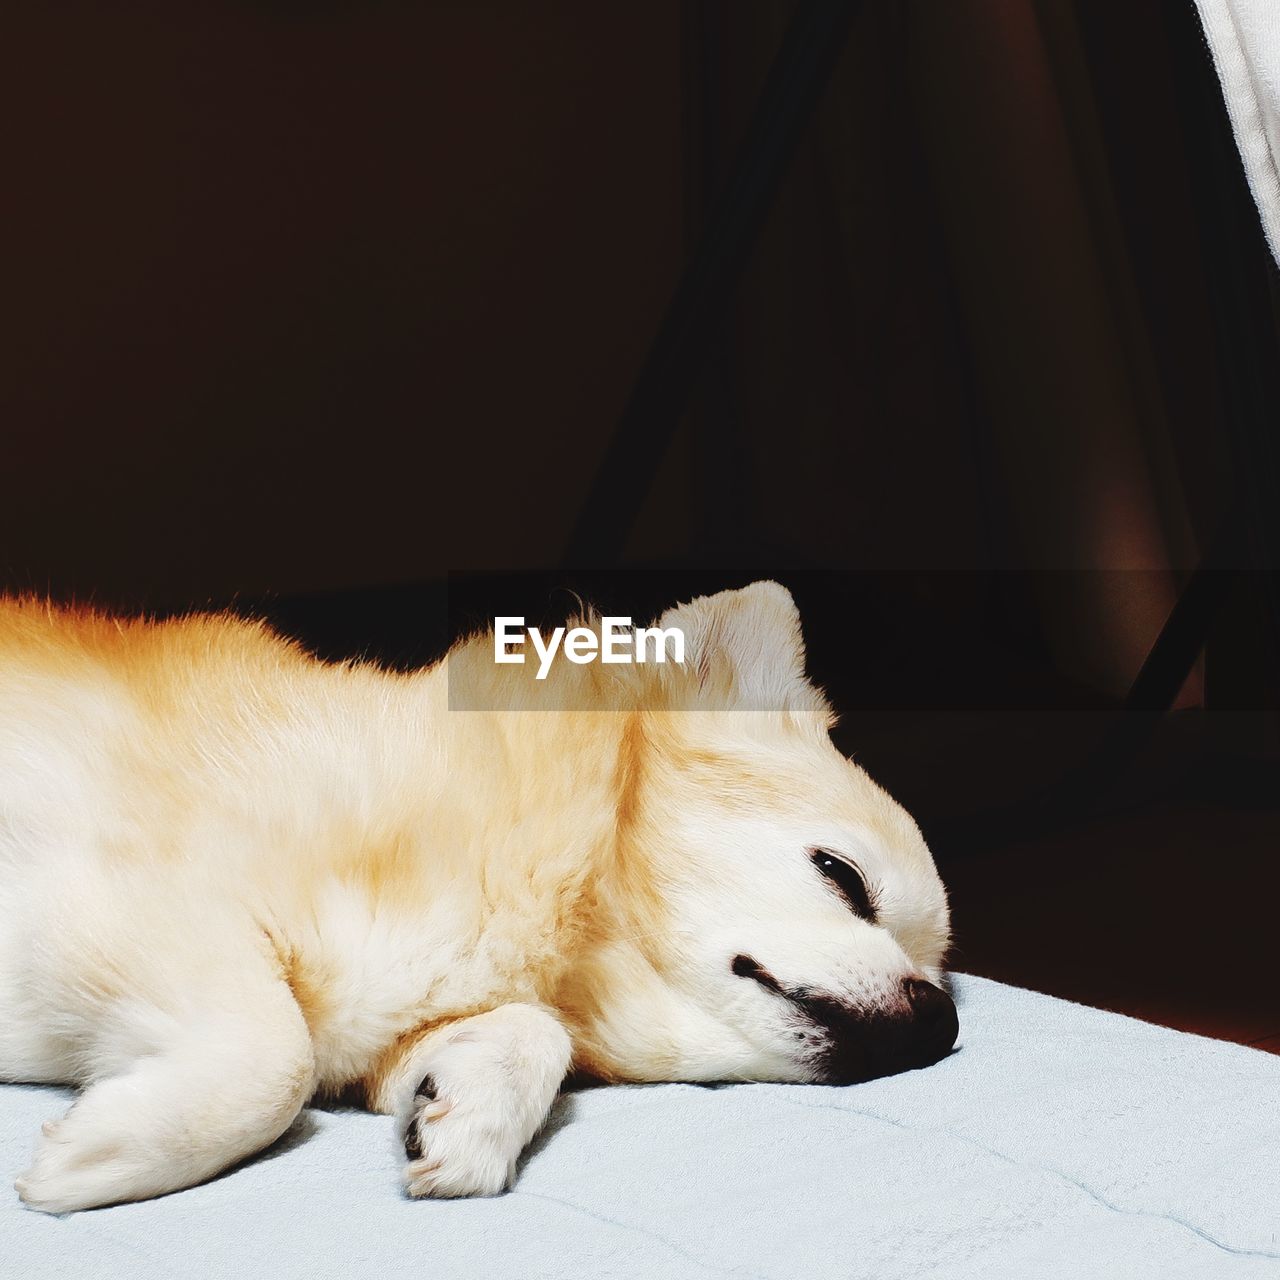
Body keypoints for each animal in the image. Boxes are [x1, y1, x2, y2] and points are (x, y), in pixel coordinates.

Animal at [0, 581, 957, 1208]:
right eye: (843, 877)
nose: (941, 1019)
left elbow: (524, 1034)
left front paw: (472, 1115)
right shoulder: (123, 883)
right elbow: (276, 1054)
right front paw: (106, 1157)